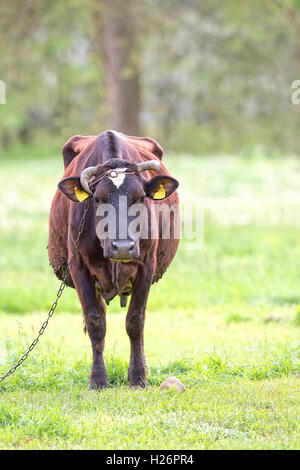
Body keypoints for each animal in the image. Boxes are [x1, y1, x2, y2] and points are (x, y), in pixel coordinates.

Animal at [48, 129, 179, 390]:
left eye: (140, 198)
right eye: (98, 200)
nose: (123, 247)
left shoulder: (146, 266)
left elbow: (136, 321)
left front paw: (138, 377)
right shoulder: (78, 267)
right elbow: (96, 322)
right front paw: (98, 379)